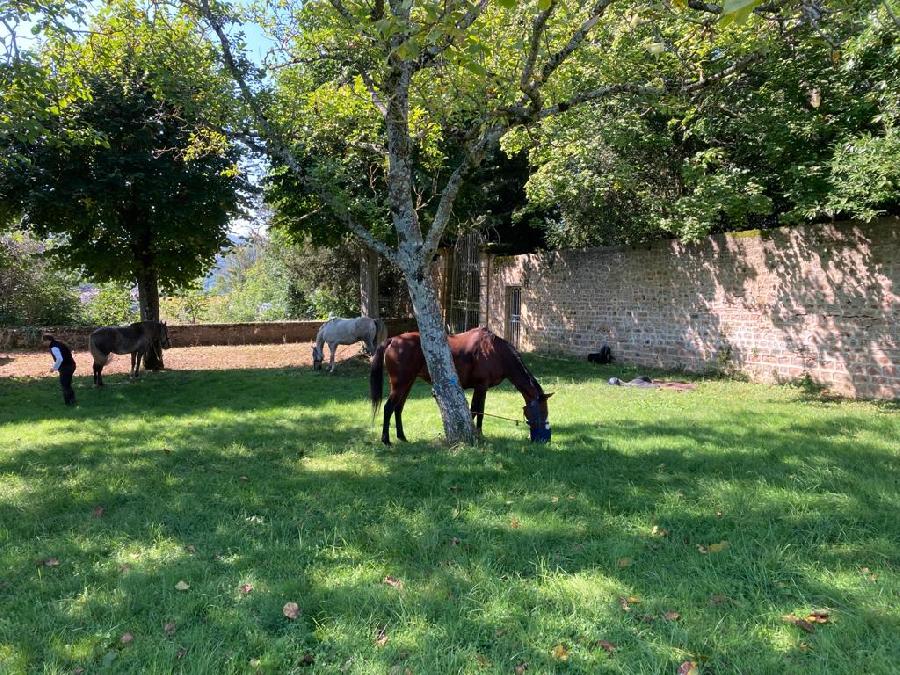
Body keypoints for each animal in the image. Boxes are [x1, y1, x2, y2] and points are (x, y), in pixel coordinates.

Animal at [370, 326, 552, 446]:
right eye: (541, 411)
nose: (543, 439)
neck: (495, 351)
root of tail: (393, 340)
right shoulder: (481, 386)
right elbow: (476, 411)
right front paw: (478, 434)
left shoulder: (481, 388)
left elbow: (477, 411)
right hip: (400, 383)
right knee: (388, 407)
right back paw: (386, 440)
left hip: (408, 383)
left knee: (398, 408)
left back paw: (402, 437)